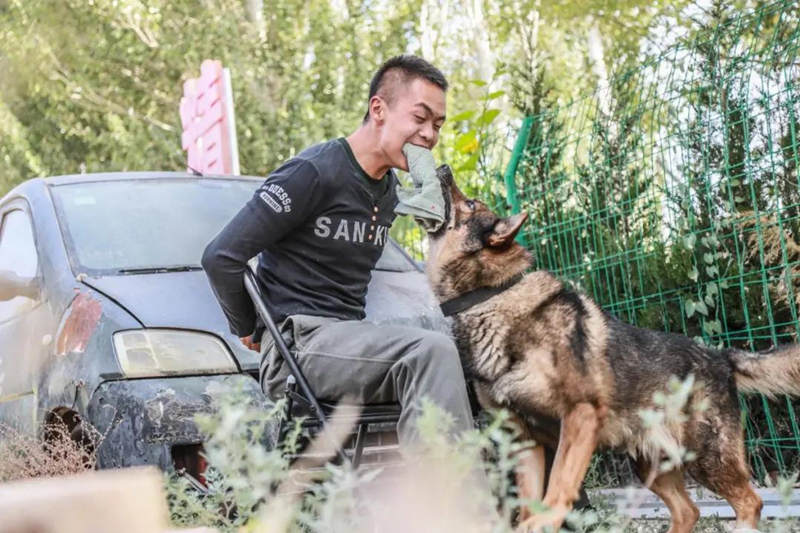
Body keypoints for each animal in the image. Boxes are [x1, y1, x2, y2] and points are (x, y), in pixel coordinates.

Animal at [424, 165, 800, 528]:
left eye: (470, 203)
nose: (442, 166)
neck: (490, 295)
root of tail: (719, 356)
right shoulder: (524, 439)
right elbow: (530, 507)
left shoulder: (579, 416)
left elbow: (557, 490)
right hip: (651, 465)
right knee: (688, 511)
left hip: (706, 457)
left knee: (750, 502)